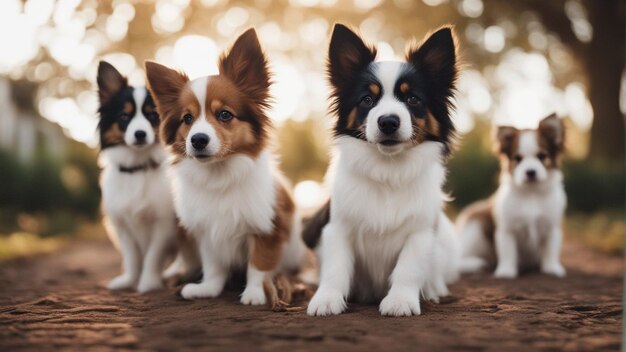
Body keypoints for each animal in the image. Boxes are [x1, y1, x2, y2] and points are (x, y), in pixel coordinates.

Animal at [96, 61, 178, 294]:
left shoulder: (163, 224)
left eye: (153, 115)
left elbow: (152, 256)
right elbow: (132, 257)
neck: (138, 168)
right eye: (125, 117)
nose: (139, 134)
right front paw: (129, 281)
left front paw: (148, 283)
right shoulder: (122, 225)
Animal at [142, 28, 308, 304]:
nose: (198, 139)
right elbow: (214, 267)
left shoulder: (266, 229)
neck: (219, 174)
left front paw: (255, 293)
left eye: (225, 115)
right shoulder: (208, 233)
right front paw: (208, 288)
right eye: (187, 119)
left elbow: (258, 264)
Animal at [304, 24, 460, 316]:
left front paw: (400, 301)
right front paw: (327, 299)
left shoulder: (420, 232)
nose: (388, 122)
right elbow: (335, 268)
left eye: (412, 99)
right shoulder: (338, 227)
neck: (388, 169)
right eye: (367, 99)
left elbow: (409, 268)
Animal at [454, 114, 564, 280]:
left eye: (541, 156)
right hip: (475, 224)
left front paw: (552, 268)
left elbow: (551, 250)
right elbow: (508, 252)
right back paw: (474, 263)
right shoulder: (507, 230)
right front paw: (506, 271)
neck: (531, 193)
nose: (530, 172)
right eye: (517, 159)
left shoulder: (551, 228)